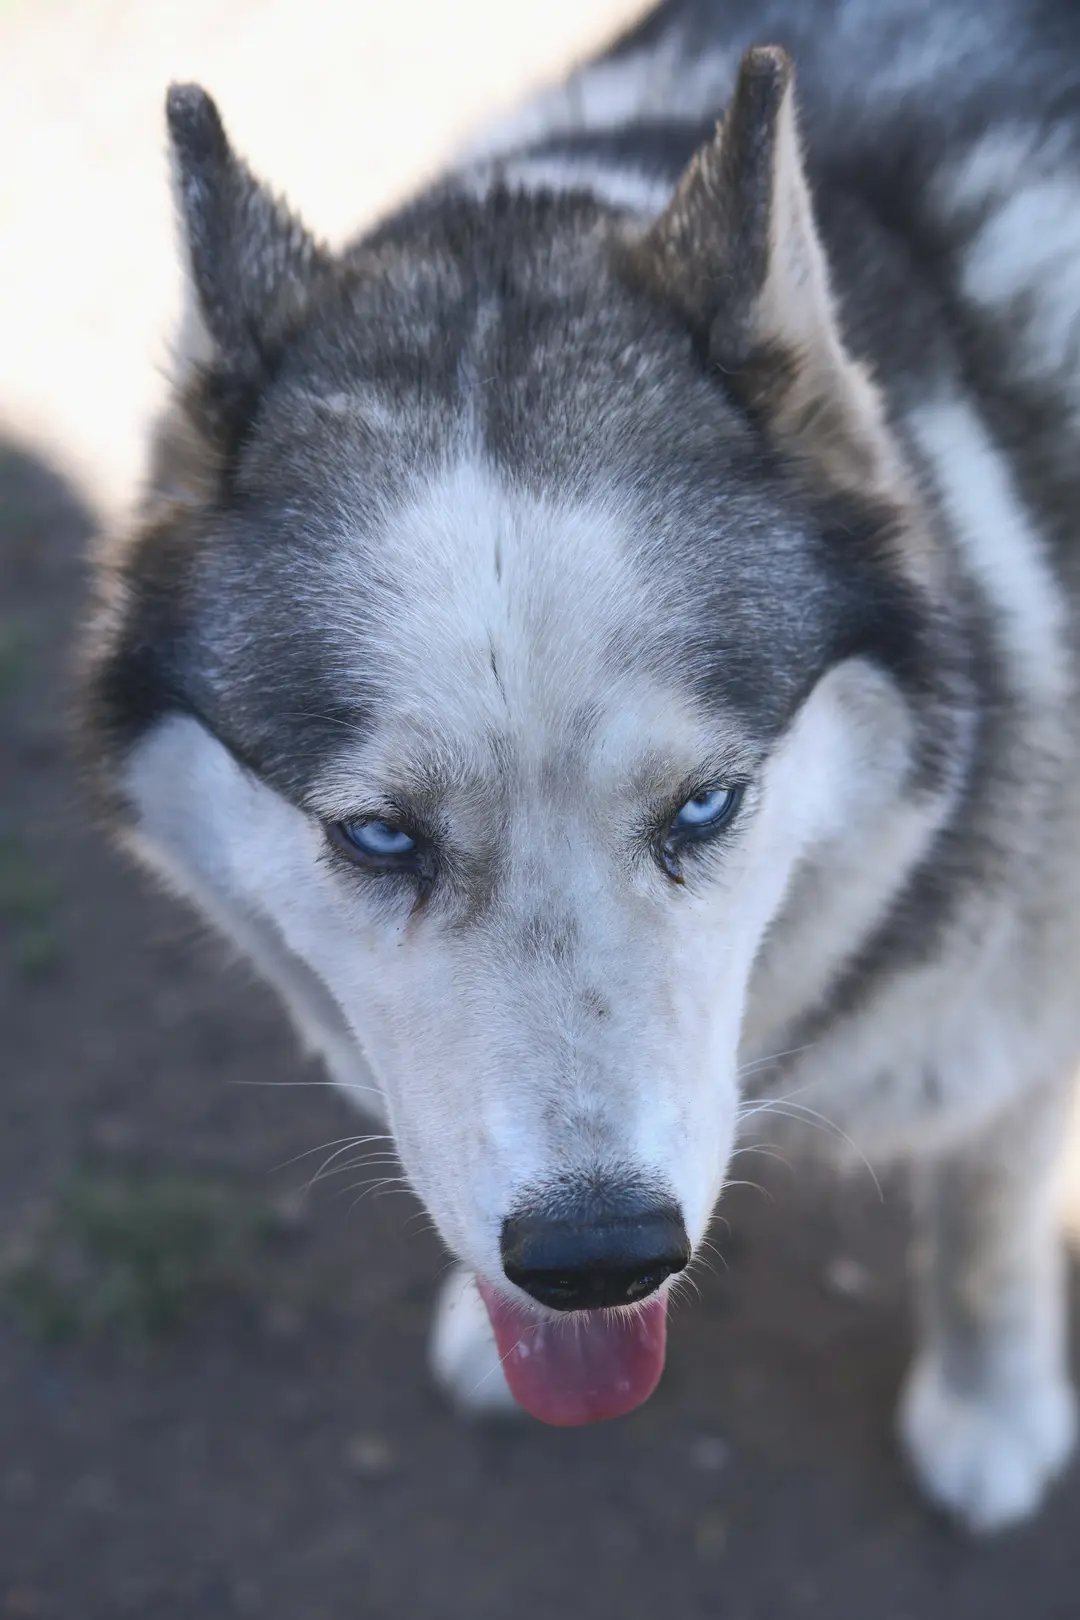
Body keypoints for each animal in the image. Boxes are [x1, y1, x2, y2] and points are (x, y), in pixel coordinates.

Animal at [81, 0, 1080, 1533]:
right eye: (380, 838)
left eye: (708, 806)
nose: (600, 1255)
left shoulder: (1015, 1028)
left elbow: (986, 1204)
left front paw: (992, 1407)